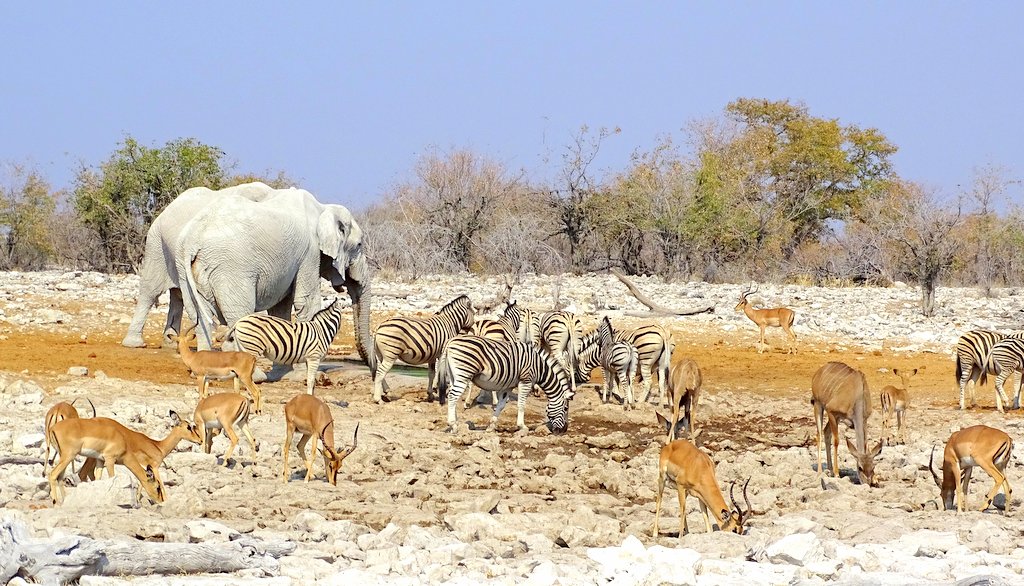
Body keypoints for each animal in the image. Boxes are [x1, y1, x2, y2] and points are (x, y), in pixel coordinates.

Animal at [176, 185, 376, 372]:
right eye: (359, 245)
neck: (323, 208)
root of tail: (192, 240)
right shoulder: (309, 254)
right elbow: (307, 302)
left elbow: (281, 307)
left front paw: (285, 371)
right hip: (230, 268)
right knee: (238, 313)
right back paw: (254, 374)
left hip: (185, 268)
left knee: (199, 317)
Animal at [436, 333, 573, 434]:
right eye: (566, 408)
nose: (564, 430)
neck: (540, 368)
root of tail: (450, 342)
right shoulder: (526, 381)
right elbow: (521, 405)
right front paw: (522, 426)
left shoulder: (509, 386)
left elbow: (501, 405)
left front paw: (491, 426)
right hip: (463, 374)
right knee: (452, 396)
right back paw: (453, 425)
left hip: (454, 376)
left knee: (453, 397)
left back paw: (455, 422)